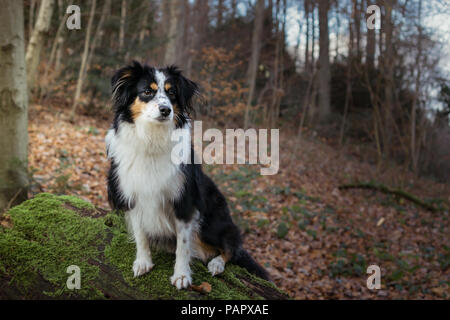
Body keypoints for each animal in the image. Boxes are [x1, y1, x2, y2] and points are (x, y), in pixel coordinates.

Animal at [106, 61, 268, 288]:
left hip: (212, 222)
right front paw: (143, 261)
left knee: (231, 247)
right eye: (147, 91)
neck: (152, 139)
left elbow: (183, 245)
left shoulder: (184, 200)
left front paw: (181, 275)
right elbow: (140, 234)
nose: (166, 110)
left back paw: (217, 263)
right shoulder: (132, 195)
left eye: (172, 93)